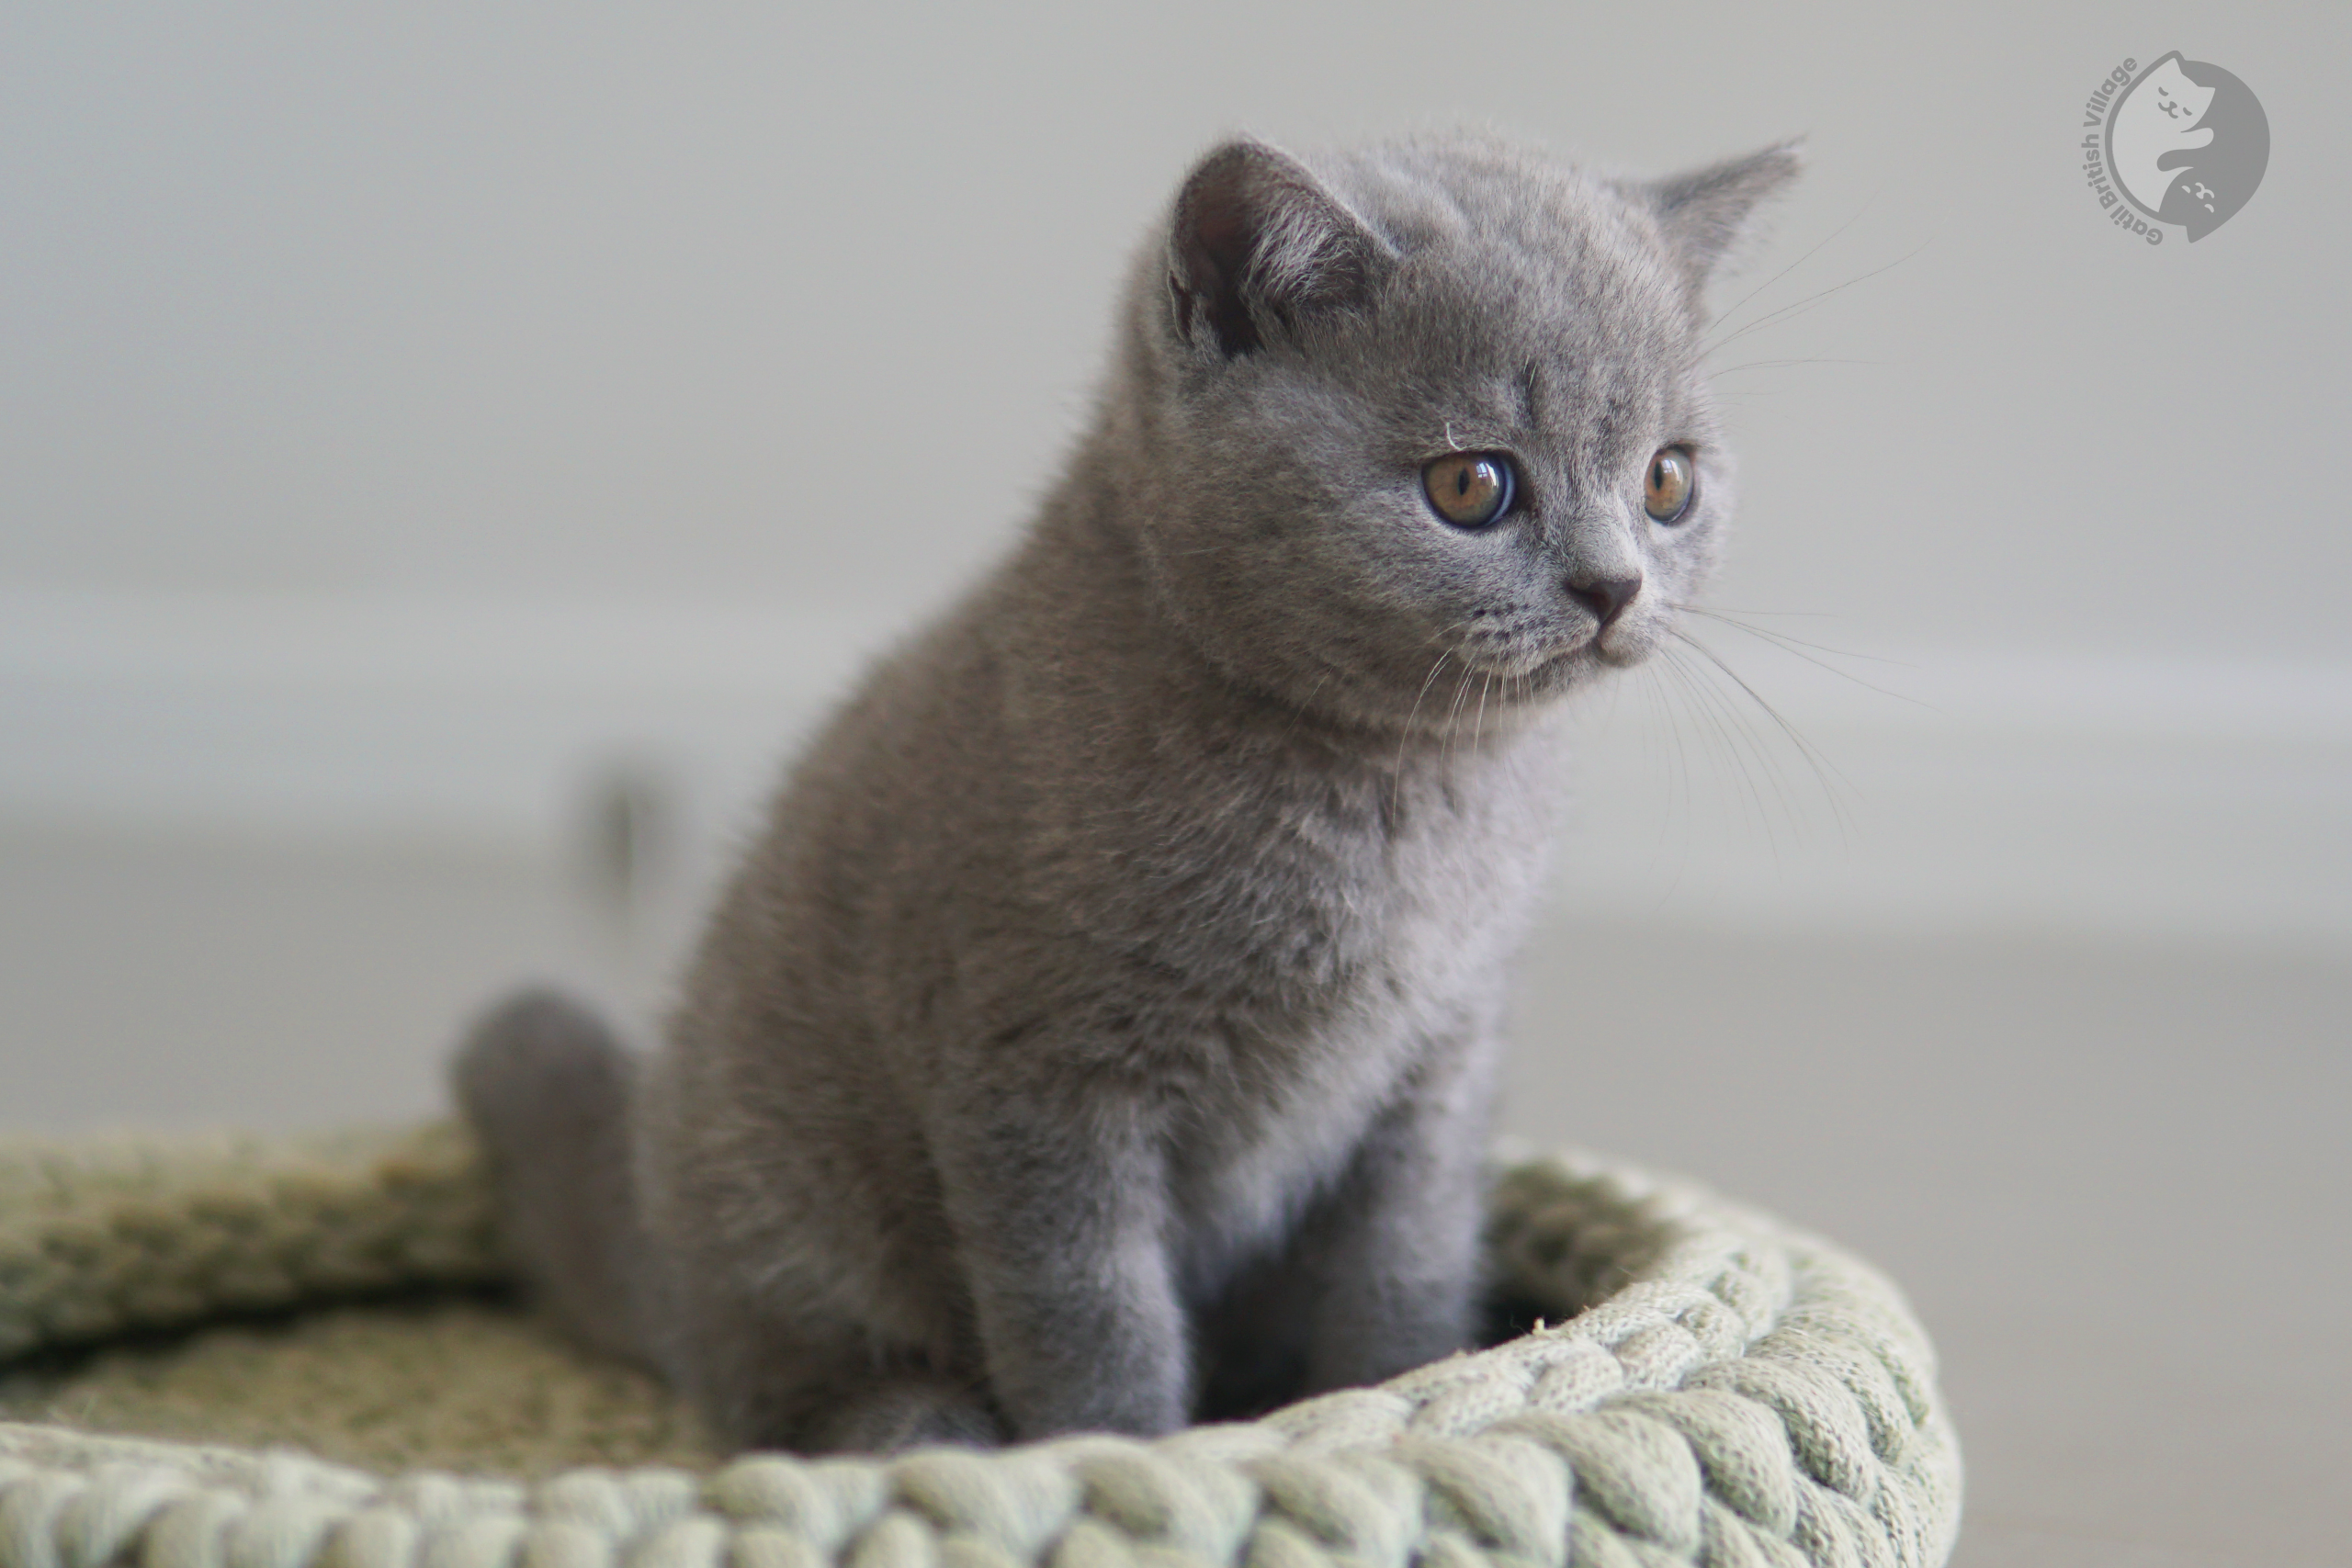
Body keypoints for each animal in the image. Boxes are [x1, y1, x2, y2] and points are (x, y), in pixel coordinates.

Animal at [448, 129, 1796, 1457]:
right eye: (1472, 485)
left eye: (1667, 482)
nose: (1615, 585)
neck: (1398, 792)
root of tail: (648, 1209)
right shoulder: (1038, 1080)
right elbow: (1093, 1312)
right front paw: (1118, 1455)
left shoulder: (1439, 1065)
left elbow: (1403, 1272)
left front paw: (1410, 1400)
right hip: (781, 1197)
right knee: (786, 1387)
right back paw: (917, 1425)